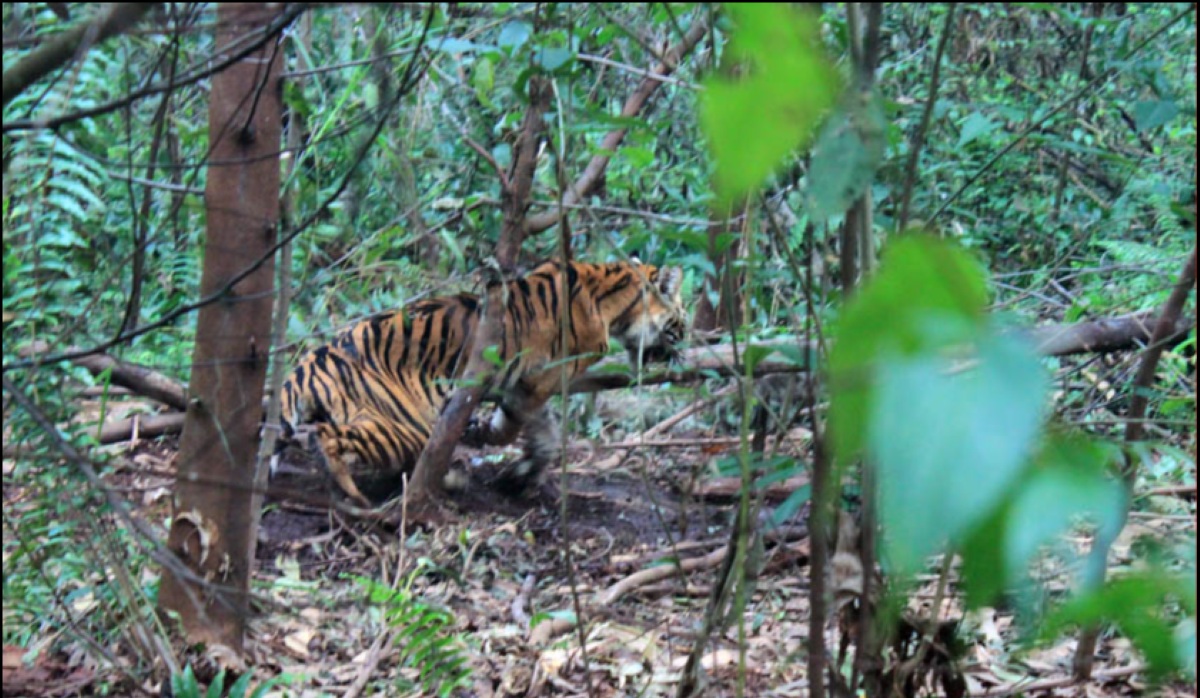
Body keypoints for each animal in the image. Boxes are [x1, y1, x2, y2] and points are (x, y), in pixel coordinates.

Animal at [279, 259, 687, 504]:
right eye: (682, 318)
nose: (683, 348)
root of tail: (313, 359)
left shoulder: (525, 382)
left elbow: (543, 432)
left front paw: (522, 476)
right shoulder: (539, 379)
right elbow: (517, 426)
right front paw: (489, 438)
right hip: (403, 422)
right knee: (331, 440)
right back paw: (364, 494)